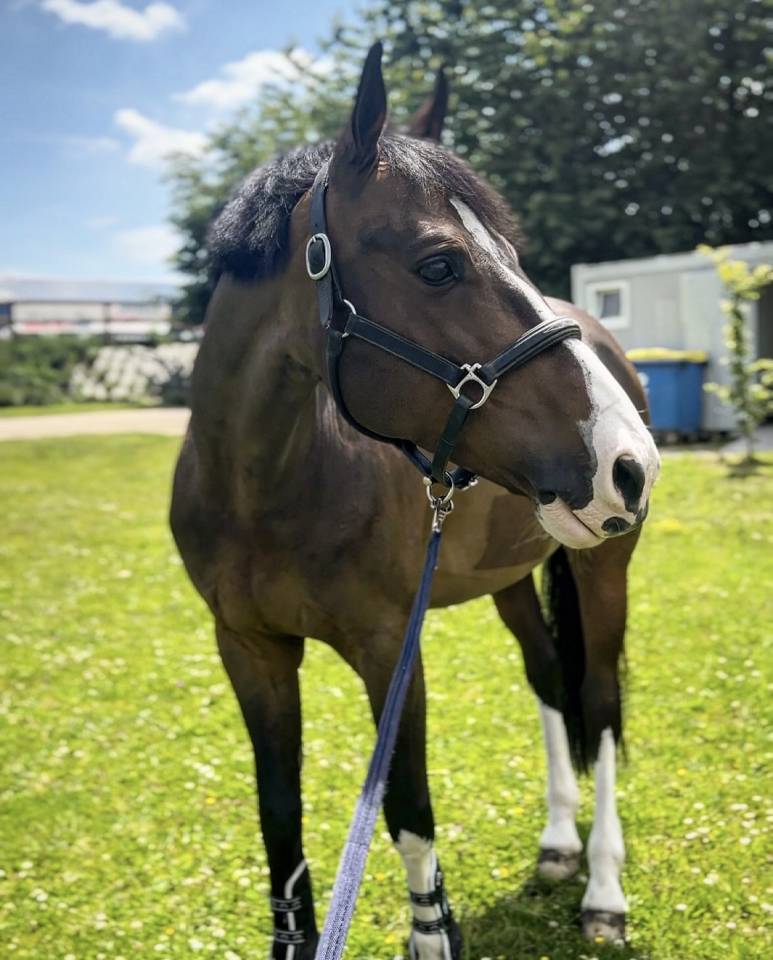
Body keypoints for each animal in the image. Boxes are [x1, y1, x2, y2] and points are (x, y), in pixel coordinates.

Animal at [170, 42, 660, 960]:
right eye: (439, 264)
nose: (630, 464)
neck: (266, 487)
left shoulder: (389, 647)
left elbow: (405, 809)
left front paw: (433, 929)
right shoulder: (248, 651)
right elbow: (278, 815)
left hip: (602, 566)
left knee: (600, 703)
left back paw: (602, 891)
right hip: (513, 577)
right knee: (548, 678)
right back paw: (557, 846)